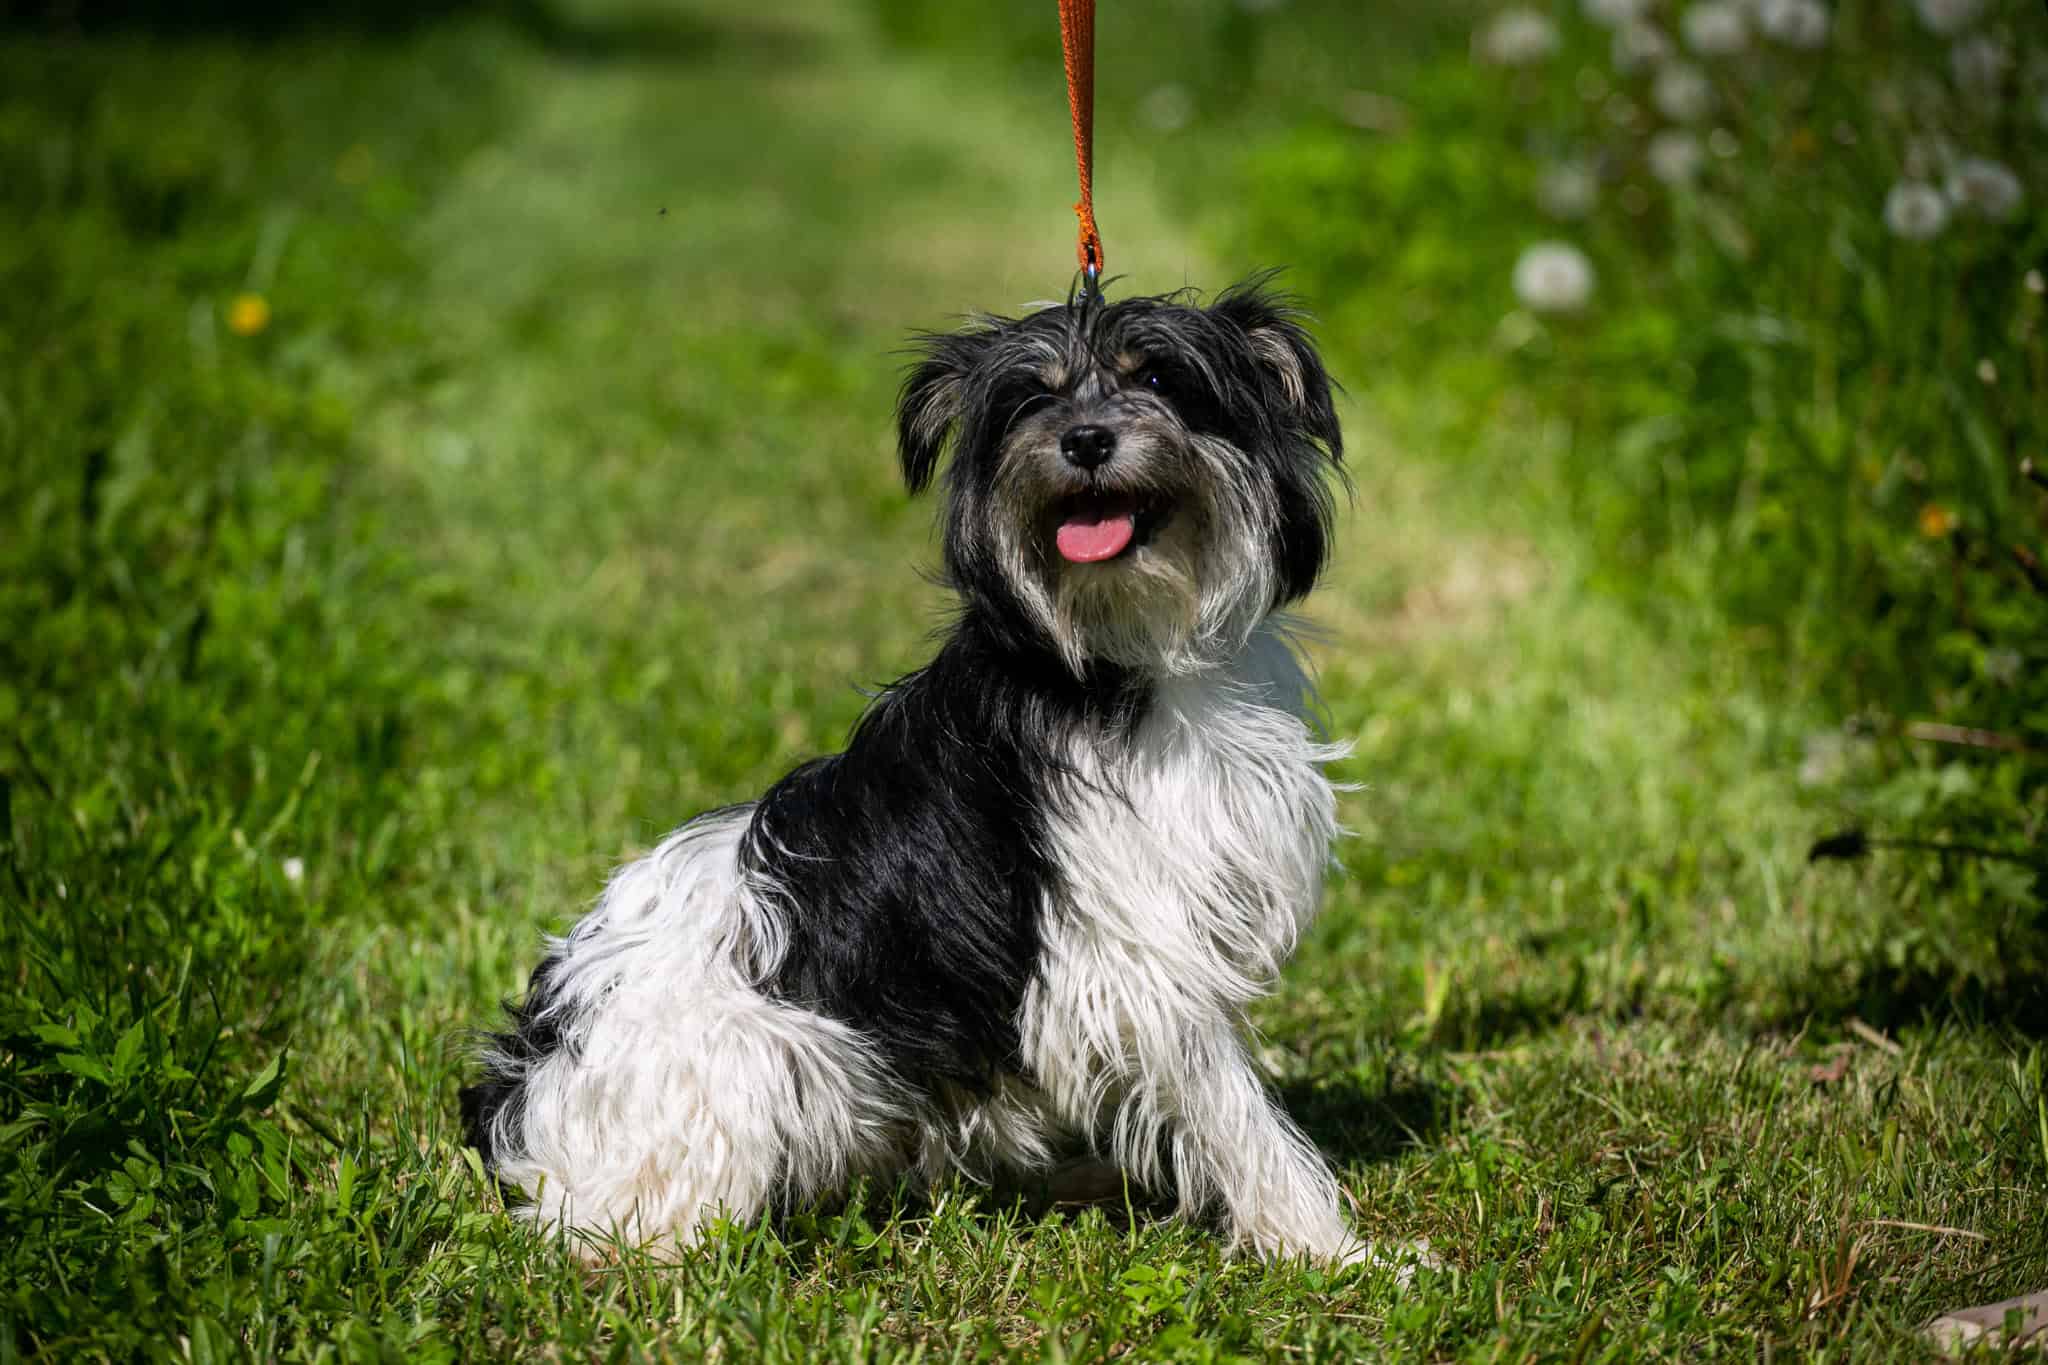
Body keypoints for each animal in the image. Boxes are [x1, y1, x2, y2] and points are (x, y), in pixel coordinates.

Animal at [462, 277, 1381, 1265]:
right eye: (1031, 400)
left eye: (1160, 378)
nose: (1084, 440)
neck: (1118, 653)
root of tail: (527, 1090)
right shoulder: (1133, 951)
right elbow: (1235, 1111)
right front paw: (1334, 1250)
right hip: (755, 1052)